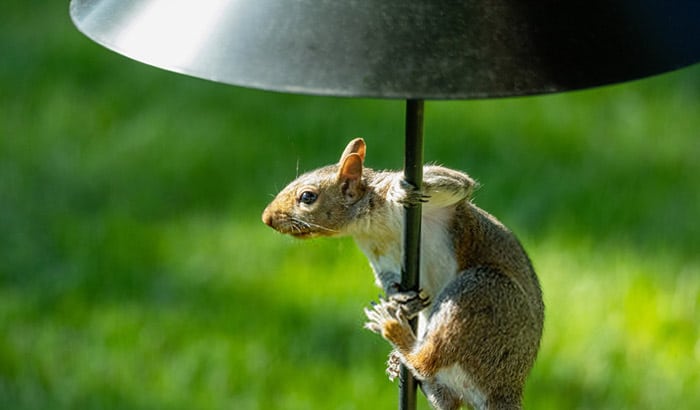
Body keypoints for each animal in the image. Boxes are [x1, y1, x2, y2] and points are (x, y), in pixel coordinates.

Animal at [262, 139, 540, 410]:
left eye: (307, 197)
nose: (266, 218)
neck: (370, 224)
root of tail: (507, 389)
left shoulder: (441, 203)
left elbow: (458, 182)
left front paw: (399, 190)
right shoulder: (380, 254)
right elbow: (387, 276)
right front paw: (400, 297)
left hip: (481, 293)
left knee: (427, 361)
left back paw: (394, 330)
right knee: (444, 395)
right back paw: (399, 358)